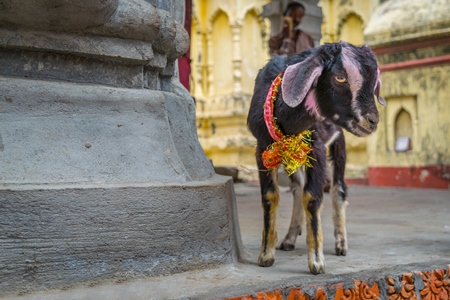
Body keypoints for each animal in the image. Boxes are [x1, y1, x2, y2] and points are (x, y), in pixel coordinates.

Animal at [248, 41, 384, 274]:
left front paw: (317, 262)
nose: (372, 121)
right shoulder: (262, 148)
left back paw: (341, 243)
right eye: (340, 77)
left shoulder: (317, 147)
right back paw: (290, 238)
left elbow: (312, 197)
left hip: (338, 142)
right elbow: (270, 196)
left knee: (338, 188)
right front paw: (266, 255)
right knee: (297, 187)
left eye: (374, 81)